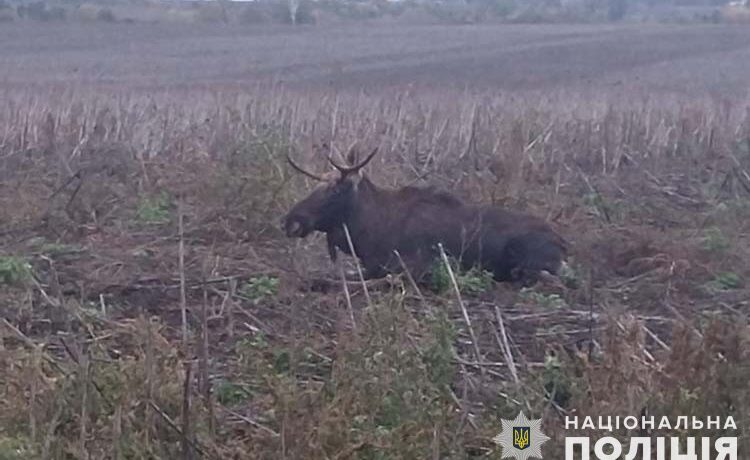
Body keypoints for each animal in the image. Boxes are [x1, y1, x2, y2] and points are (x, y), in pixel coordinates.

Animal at [284, 147, 568, 284]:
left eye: (334, 191)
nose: (290, 220)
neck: (368, 233)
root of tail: (564, 243)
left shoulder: (417, 266)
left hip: (526, 259)